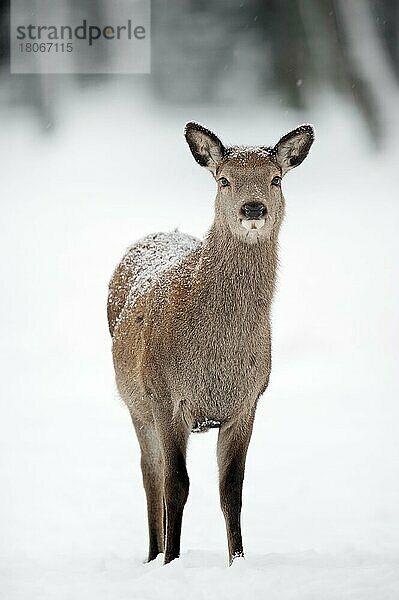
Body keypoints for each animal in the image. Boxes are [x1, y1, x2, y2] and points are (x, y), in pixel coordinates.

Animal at [108, 123, 314, 568]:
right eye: (224, 180)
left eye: (276, 178)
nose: (253, 209)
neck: (216, 360)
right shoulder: (166, 397)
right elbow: (176, 485)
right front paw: (172, 561)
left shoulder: (248, 401)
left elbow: (232, 489)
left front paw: (237, 559)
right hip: (136, 402)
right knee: (150, 475)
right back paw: (153, 553)